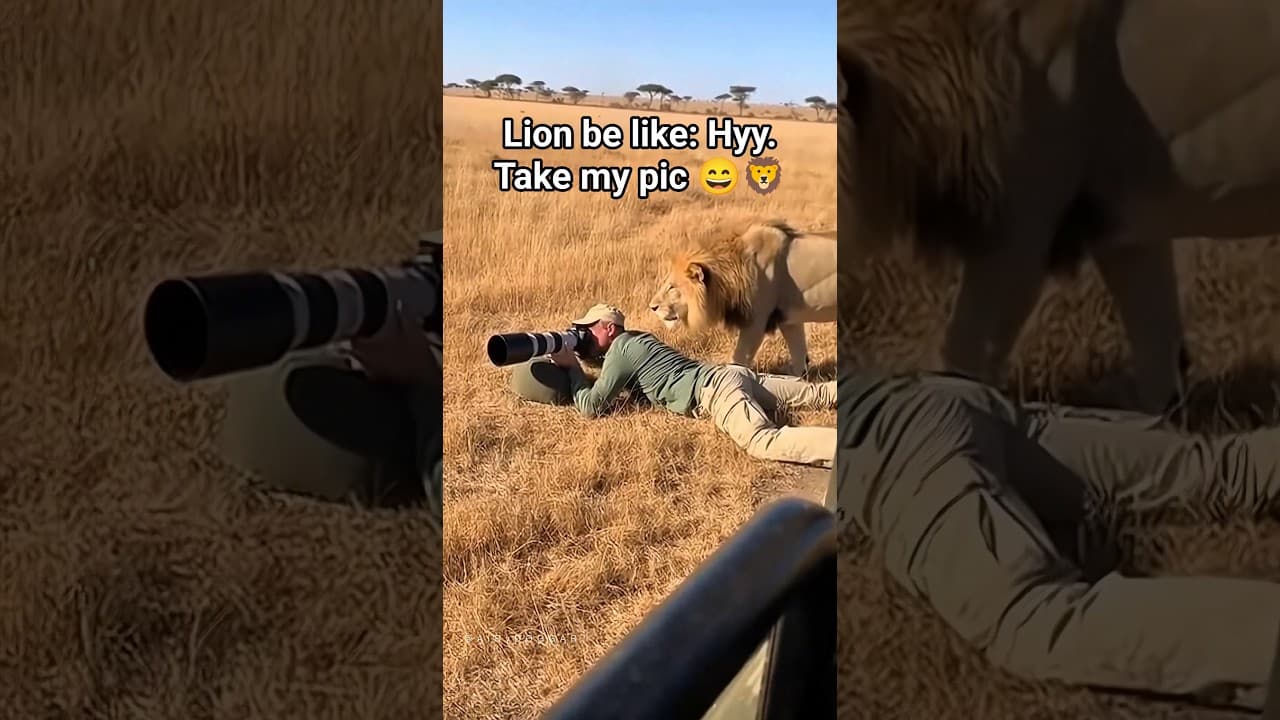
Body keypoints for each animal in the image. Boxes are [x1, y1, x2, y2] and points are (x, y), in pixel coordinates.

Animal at [648, 220, 836, 376]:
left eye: (672, 287)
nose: (652, 307)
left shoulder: (756, 322)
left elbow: (739, 358)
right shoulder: (788, 320)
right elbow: (798, 355)